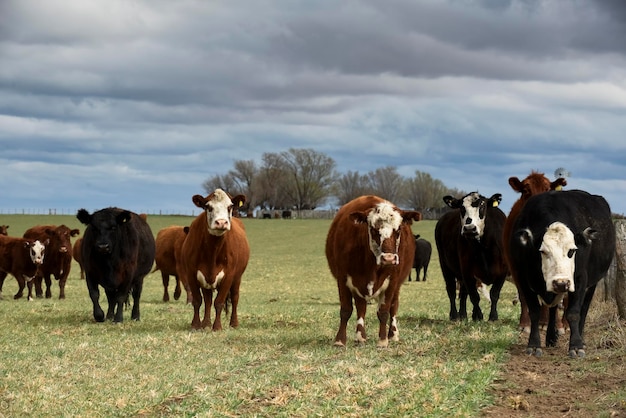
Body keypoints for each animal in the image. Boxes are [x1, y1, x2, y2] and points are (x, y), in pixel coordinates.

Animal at [178, 189, 249, 330]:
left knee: (235, 297)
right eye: (208, 207)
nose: (221, 222)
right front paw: (196, 325)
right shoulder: (191, 274)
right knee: (208, 299)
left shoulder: (229, 275)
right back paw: (206, 323)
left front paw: (217, 327)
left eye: (230, 206)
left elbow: (219, 302)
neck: (212, 251)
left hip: (237, 278)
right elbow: (198, 300)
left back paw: (234, 323)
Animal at [324, 196, 422, 350]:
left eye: (398, 229)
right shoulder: (343, 279)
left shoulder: (392, 281)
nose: (389, 258)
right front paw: (340, 340)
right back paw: (361, 336)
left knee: (394, 307)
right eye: (373, 229)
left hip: (397, 286)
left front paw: (382, 340)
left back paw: (393, 335)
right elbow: (346, 310)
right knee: (361, 307)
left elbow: (384, 311)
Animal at [434, 191, 508, 322]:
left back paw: (463, 315)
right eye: (462, 208)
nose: (469, 228)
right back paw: (454, 315)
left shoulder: (502, 272)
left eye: (483, 206)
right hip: (445, 266)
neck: (483, 248)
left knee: (463, 293)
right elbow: (474, 297)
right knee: (452, 290)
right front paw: (478, 316)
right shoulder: (467, 271)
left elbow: (494, 294)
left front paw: (493, 316)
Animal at [502, 171, 564, 334]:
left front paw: (552, 324)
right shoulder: (516, 268)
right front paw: (525, 324)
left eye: (548, 189)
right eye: (525, 191)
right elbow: (524, 296)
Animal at [508, 191, 616, 358]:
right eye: (543, 251)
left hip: (592, 283)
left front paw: (576, 346)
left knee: (584, 309)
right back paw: (551, 337)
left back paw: (581, 339)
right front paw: (534, 344)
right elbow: (535, 311)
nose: (561, 283)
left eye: (572, 251)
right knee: (553, 309)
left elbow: (573, 313)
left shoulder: (580, 279)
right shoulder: (523, 278)